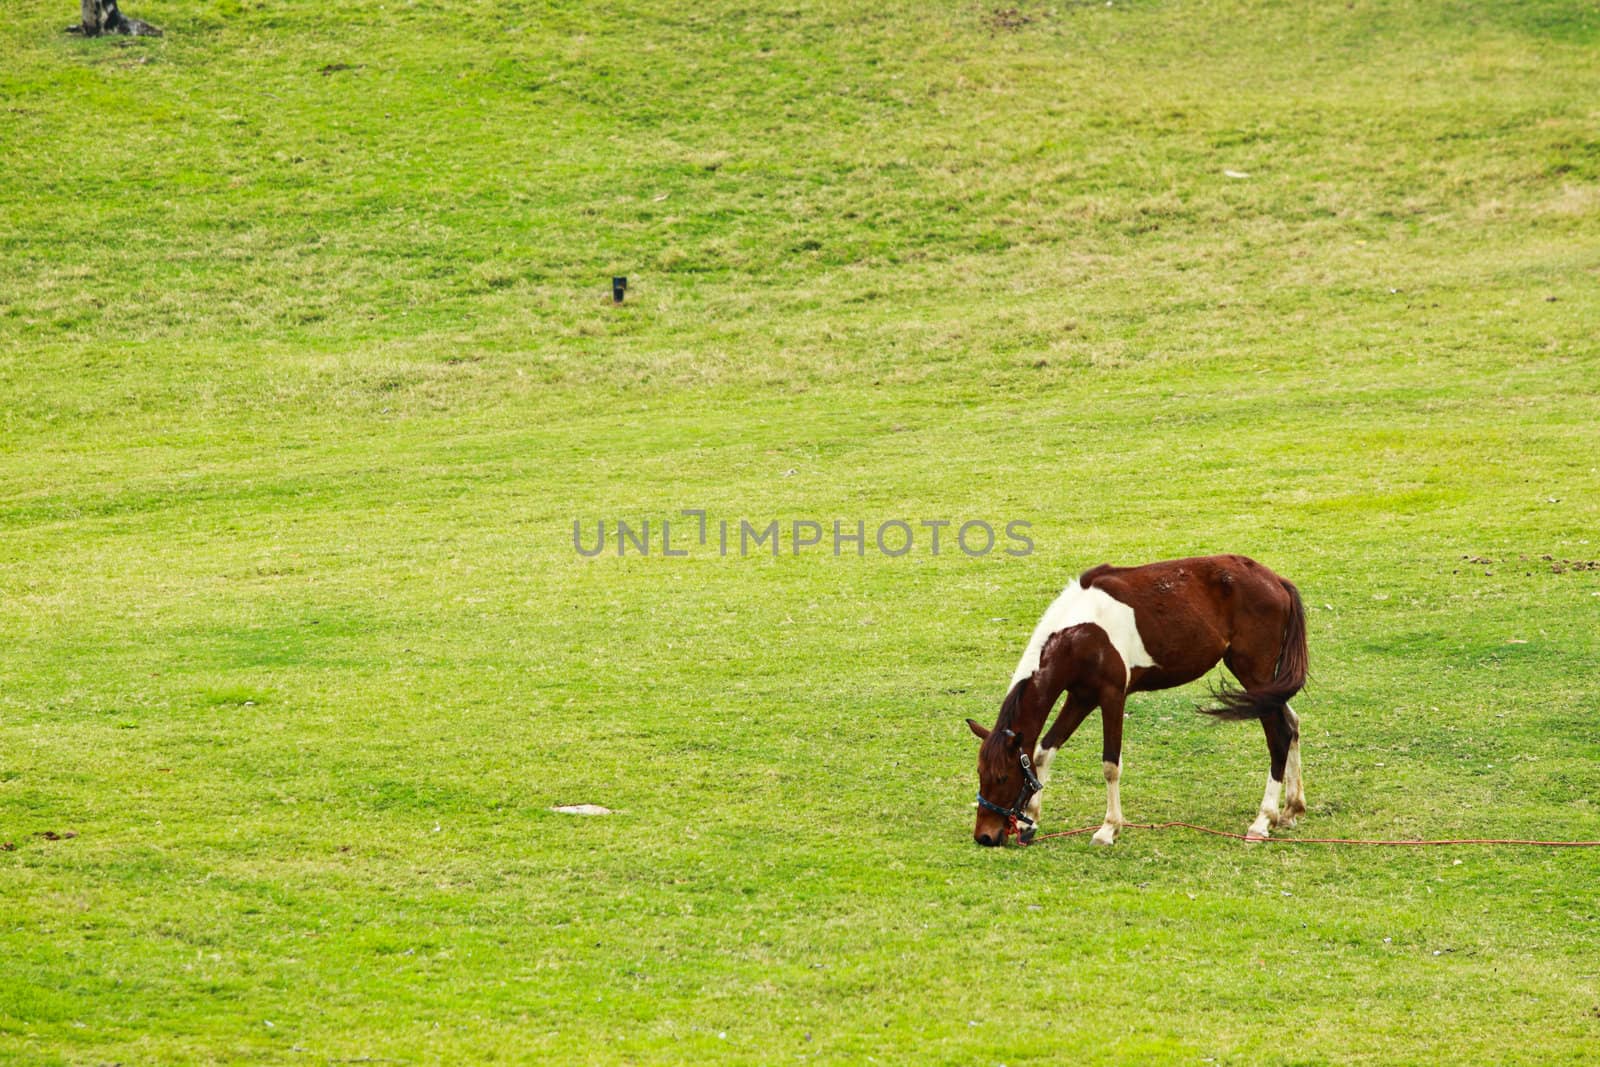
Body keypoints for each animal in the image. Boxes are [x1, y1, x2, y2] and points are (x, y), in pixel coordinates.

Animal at [966, 556, 1305, 844]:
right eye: (981, 774)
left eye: (1002, 777)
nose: (984, 836)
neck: (1081, 631)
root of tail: (1276, 580)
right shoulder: (1080, 697)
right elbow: (1043, 752)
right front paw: (1030, 821)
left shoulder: (1112, 696)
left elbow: (1110, 764)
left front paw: (1108, 829)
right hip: (1260, 683)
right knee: (1292, 724)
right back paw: (1291, 809)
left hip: (1255, 676)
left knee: (1279, 737)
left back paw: (1263, 820)